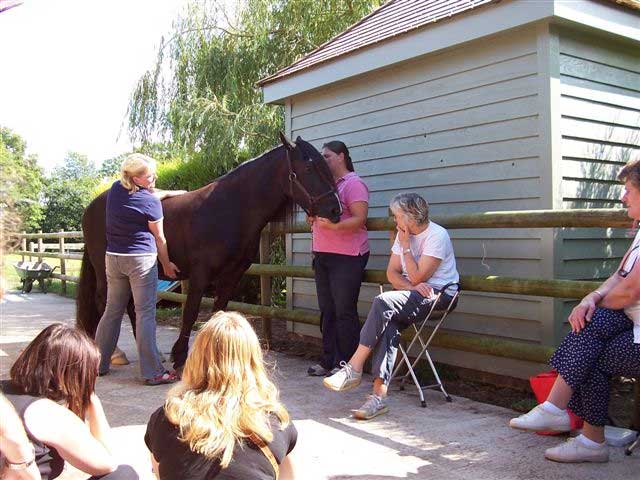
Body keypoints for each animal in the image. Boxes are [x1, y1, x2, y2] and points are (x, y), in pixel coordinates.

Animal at [77, 135, 342, 368]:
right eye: (309, 168)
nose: (335, 209)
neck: (229, 209)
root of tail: (91, 207)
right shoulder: (200, 275)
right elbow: (191, 313)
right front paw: (180, 357)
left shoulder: (231, 276)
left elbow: (218, 312)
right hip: (108, 271)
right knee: (106, 304)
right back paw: (114, 354)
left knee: (130, 305)